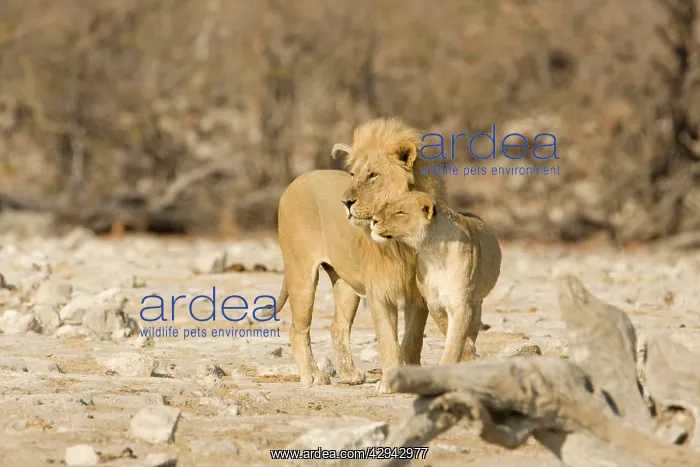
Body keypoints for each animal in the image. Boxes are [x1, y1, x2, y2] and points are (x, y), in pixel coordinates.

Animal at [272, 117, 446, 391]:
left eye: (373, 175)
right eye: (353, 174)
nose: (345, 203)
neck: (401, 239)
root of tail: (295, 182)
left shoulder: (417, 294)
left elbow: (412, 340)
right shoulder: (379, 291)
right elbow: (387, 340)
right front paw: (389, 382)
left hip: (346, 284)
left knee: (337, 326)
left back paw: (349, 374)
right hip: (301, 273)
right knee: (298, 329)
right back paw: (312, 375)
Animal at [370, 191, 502, 364]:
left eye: (400, 212)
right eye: (388, 205)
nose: (373, 220)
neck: (432, 252)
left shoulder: (460, 302)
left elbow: (456, 339)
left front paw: (460, 359)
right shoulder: (433, 302)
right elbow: (446, 327)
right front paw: (468, 352)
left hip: (477, 301)